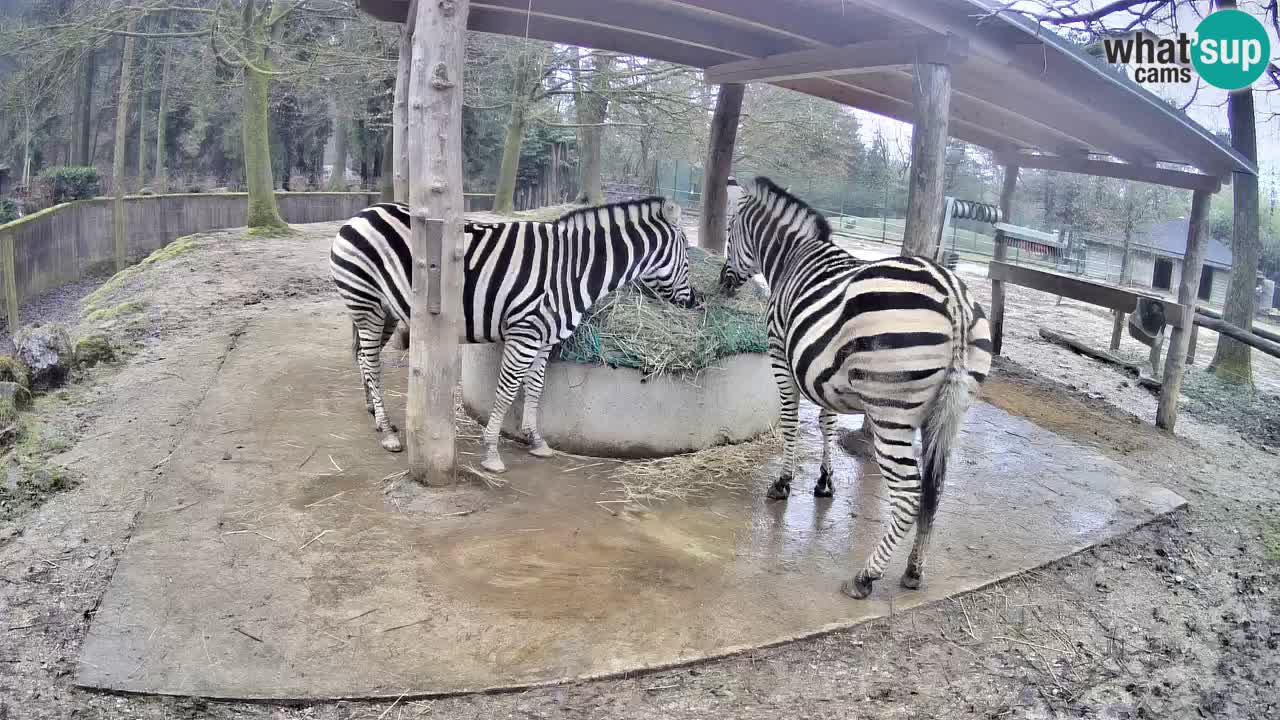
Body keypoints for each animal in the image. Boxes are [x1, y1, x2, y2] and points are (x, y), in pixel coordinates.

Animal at [329, 197, 697, 474]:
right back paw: (388, 433)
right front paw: (491, 452)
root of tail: (360, 214)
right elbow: (507, 392)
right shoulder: (525, 333)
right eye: (687, 252)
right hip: (366, 303)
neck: (572, 269)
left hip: (385, 310)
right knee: (372, 364)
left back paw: (375, 415)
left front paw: (537, 440)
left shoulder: (545, 337)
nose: (694, 302)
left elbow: (535, 389)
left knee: (364, 357)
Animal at [717, 177, 992, 600]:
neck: (791, 258)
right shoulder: (823, 369)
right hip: (949, 414)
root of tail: (956, 301)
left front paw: (783, 483)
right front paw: (824, 483)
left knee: (909, 492)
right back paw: (913, 570)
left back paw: (866, 576)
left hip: (890, 411)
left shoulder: (782, 356)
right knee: (935, 488)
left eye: (730, 232)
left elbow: (792, 421)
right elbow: (827, 424)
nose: (723, 283)